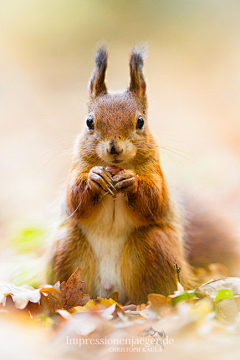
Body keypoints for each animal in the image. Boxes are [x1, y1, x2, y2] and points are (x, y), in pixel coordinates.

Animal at [46, 45, 239, 304]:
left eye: (140, 121)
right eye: (89, 122)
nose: (114, 147)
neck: (116, 167)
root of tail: (112, 294)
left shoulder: (155, 171)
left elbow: (156, 200)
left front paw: (132, 182)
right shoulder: (77, 167)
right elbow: (74, 199)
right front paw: (94, 179)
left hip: (154, 245)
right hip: (67, 247)